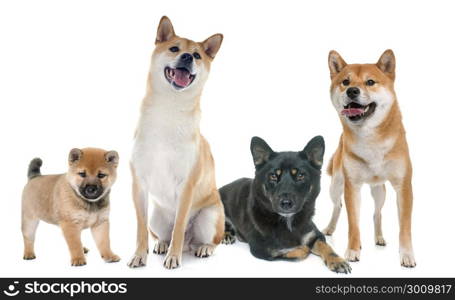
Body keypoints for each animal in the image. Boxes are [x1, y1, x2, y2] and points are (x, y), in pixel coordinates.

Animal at [128, 16, 224, 270]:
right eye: (174, 49)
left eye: (197, 55)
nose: (188, 57)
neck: (169, 109)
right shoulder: (139, 184)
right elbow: (140, 229)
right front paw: (139, 255)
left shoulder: (186, 186)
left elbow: (179, 227)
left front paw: (174, 257)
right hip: (157, 217)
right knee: (162, 233)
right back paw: (162, 244)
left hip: (210, 217)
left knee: (208, 240)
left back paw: (202, 248)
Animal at [219, 137, 350, 274]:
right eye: (273, 176)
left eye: (300, 175)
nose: (286, 203)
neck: (288, 221)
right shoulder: (263, 249)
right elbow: (299, 251)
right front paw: (304, 248)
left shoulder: (315, 234)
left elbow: (326, 246)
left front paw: (337, 260)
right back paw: (226, 234)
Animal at [324, 49, 416, 268]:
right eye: (345, 82)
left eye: (370, 82)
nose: (352, 91)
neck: (370, 140)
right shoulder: (352, 186)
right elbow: (353, 224)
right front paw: (353, 250)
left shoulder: (403, 185)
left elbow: (404, 226)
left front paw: (407, 255)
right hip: (336, 184)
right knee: (337, 206)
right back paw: (330, 228)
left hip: (379, 190)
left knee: (377, 213)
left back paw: (379, 237)